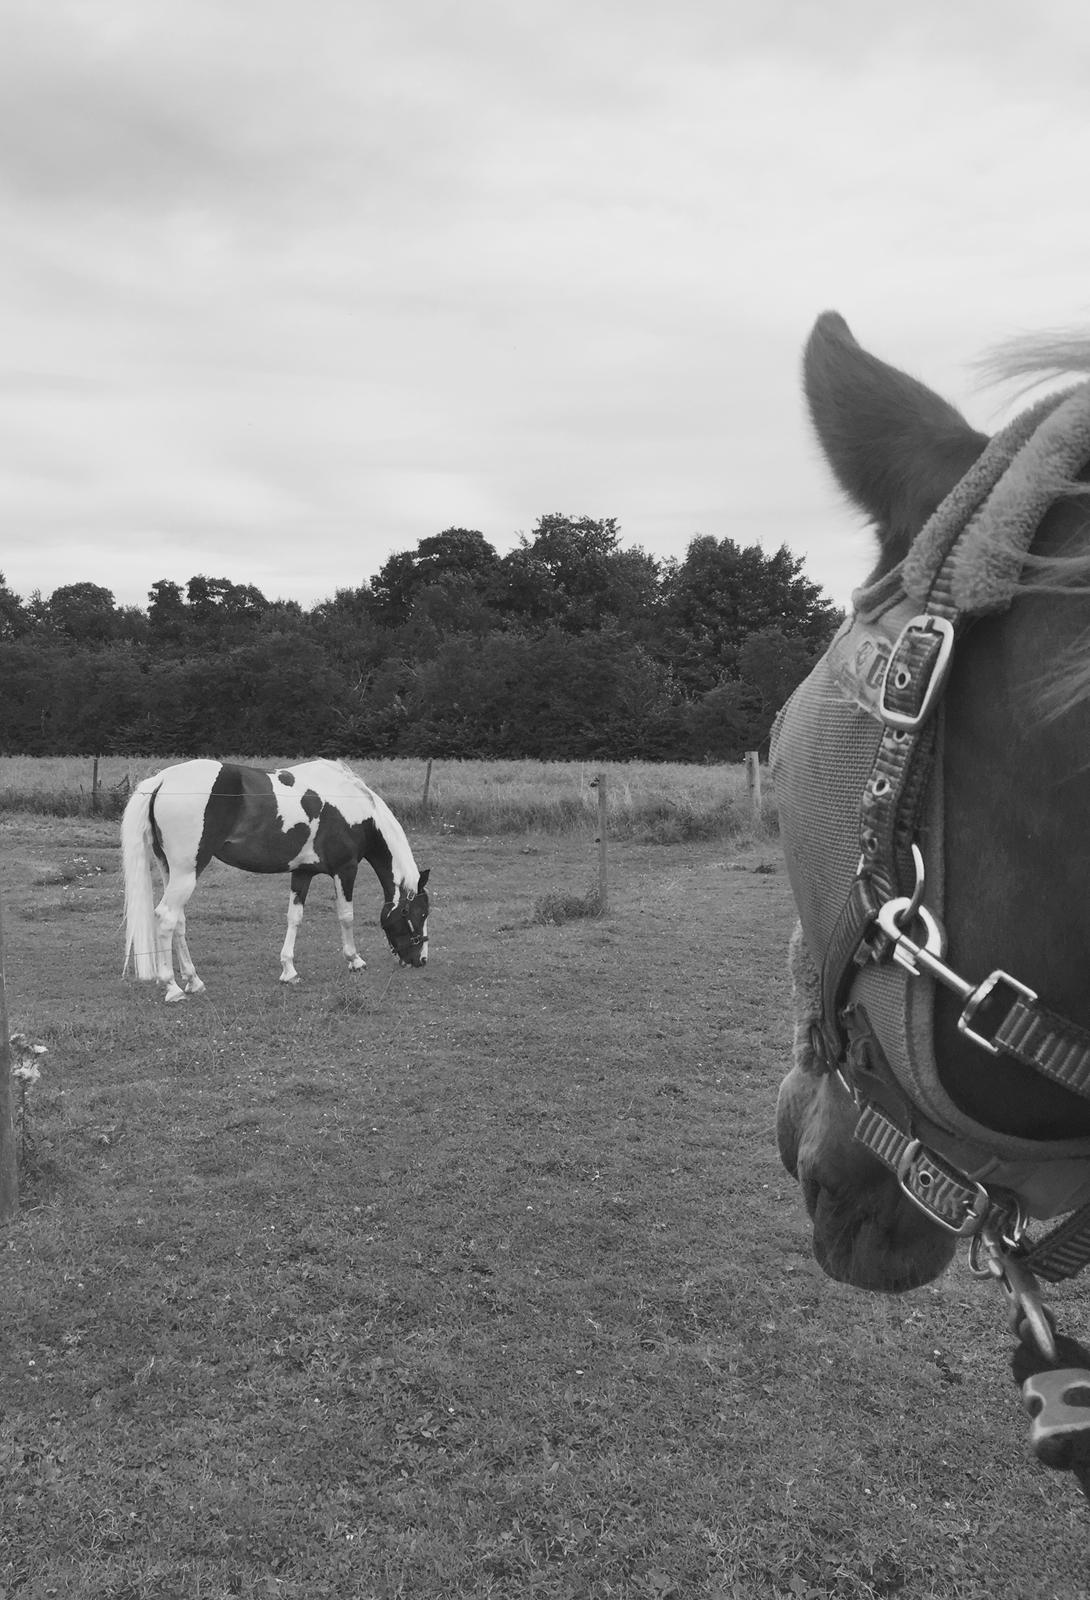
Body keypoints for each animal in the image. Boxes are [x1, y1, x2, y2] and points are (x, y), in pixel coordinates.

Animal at [121, 758, 430, 1002]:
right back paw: (172, 987)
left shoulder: (302, 873)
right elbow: (346, 916)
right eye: (420, 912)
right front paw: (355, 960)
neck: (352, 805)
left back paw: (193, 981)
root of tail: (162, 779)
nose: (421, 960)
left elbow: (295, 917)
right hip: (186, 873)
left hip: (172, 871)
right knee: (166, 917)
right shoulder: (346, 869)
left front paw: (289, 971)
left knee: (179, 921)